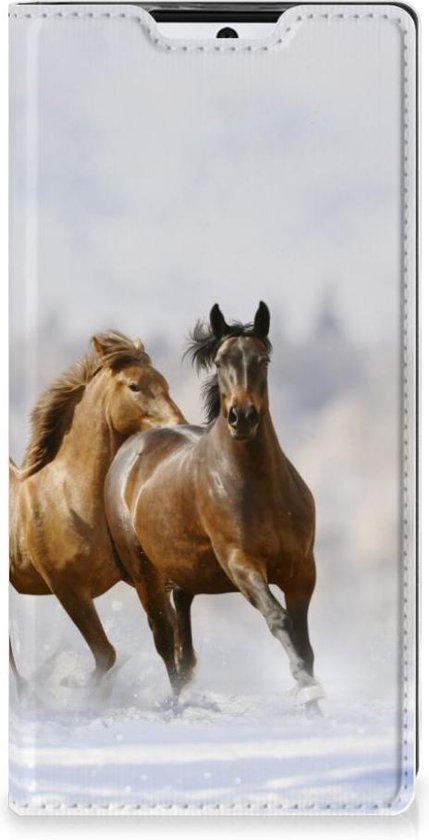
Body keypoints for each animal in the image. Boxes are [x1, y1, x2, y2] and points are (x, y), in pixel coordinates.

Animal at [10, 330, 185, 681]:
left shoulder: (143, 578)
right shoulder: (68, 589)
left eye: (164, 383)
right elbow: (106, 654)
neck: (69, 499)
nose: (178, 424)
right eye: (134, 386)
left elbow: (167, 639)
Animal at [104, 303, 324, 712]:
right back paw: (177, 705)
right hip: (145, 574)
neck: (260, 489)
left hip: (184, 573)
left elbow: (303, 640)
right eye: (221, 361)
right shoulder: (242, 564)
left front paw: (314, 704)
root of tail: (131, 449)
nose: (242, 417)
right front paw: (306, 688)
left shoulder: (302, 570)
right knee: (164, 639)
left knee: (183, 638)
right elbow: (279, 619)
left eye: (263, 359)